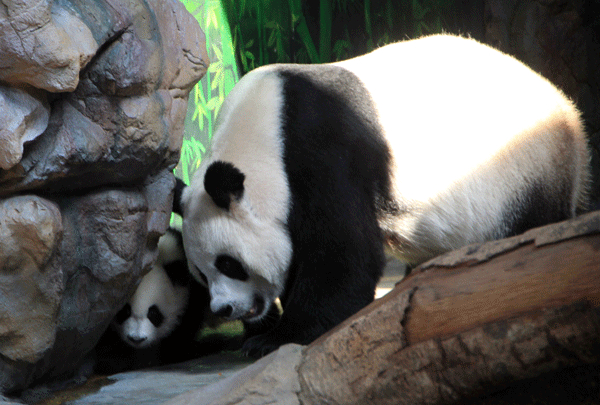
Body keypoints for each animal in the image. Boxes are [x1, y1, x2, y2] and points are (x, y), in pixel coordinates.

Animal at [176, 34, 588, 356]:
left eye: (229, 264)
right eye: (200, 274)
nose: (224, 308)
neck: (262, 131)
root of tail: (570, 113)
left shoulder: (321, 151)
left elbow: (342, 251)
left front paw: (276, 338)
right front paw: (262, 331)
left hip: (526, 171)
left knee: (530, 227)